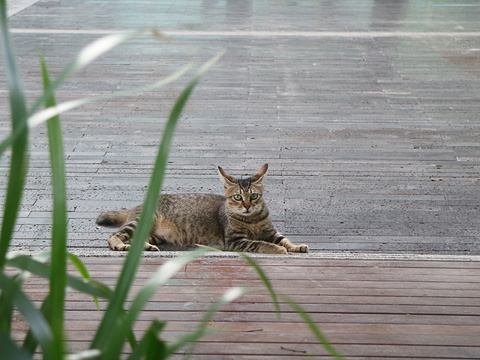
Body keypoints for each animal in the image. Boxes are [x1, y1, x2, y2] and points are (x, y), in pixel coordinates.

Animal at [95, 165, 310, 255]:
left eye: (254, 196)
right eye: (237, 197)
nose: (248, 206)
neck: (253, 220)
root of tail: (138, 205)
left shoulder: (271, 232)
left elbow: (285, 239)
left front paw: (296, 246)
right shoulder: (235, 241)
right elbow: (260, 244)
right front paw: (279, 250)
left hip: (154, 234)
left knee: (138, 240)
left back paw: (146, 247)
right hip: (140, 222)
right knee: (113, 236)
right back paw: (120, 246)